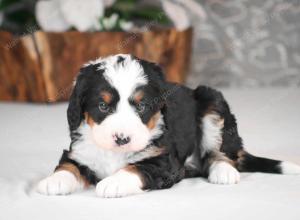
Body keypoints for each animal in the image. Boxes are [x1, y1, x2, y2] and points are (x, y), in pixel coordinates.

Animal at [37, 53, 300, 198]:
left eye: (142, 106)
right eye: (102, 106)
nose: (122, 139)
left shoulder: (164, 161)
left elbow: (137, 168)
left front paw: (113, 182)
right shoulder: (80, 150)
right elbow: (69, 164)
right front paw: (54, 180)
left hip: (212, 102)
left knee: (220, 153)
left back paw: (223, 171)